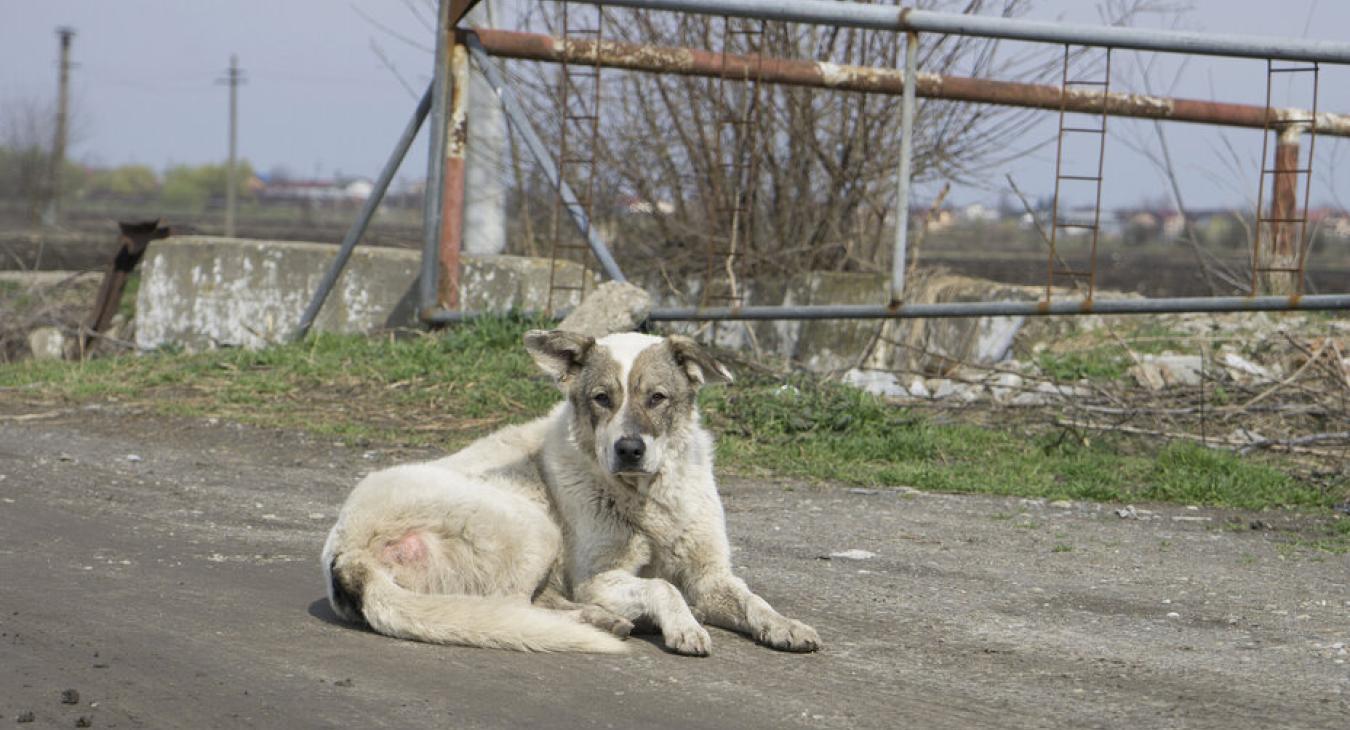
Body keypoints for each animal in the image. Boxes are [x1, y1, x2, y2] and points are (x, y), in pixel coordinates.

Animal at [321, 330, 815, 655]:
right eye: (602, 398)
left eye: (656, 397)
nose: (629, 449)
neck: (646, 498)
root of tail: (348, 554)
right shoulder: (597, 579)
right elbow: (661, 586)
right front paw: (683, 627)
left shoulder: (709, 576)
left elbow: (752, 600)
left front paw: (785, 625)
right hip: (534, 528)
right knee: (513, 608)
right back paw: (599, 621)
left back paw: (605, 621)